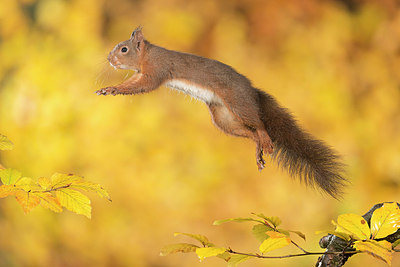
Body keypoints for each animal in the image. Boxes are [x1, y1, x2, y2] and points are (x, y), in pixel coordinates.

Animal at [95, 27, 346, 199]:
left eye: (124, 49)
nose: (109, 59)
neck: (147, 55)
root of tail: (252, 91)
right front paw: (109, 88)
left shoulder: (156, 70)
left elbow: (142, 85)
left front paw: (114, 89)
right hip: (224, 118)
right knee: (251, 133)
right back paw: (258, 152)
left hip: (238, 104)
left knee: (260, 125)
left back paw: (266, 141)